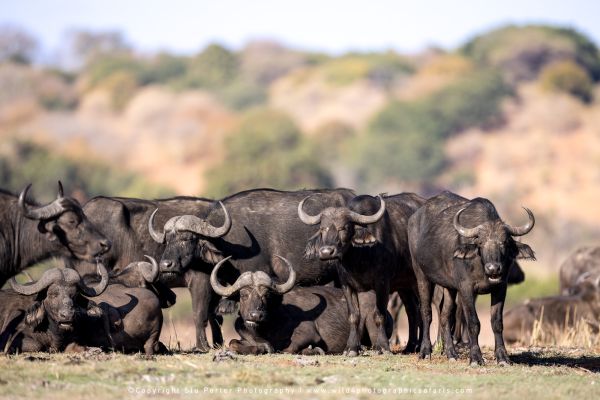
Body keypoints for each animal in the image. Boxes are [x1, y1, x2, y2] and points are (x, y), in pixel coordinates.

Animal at [211, 256, 394, 354]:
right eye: (243, 295)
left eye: (266, 295)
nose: (255, 315)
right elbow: (233, 342)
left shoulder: (308, 333)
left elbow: (287, 348)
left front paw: (313, 350)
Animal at [298, 192, 424, 354]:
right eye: (322, 229)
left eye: (343, 228)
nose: (326, 252)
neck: (359, 258)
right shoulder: (347, 285)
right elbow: (353, 316)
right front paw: (352, 347)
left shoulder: (382, 284)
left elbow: (379, 314)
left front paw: (383, 346)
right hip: (404, 285)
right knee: (412, 311)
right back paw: (410, 347)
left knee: (423, 310)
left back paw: (422, 346)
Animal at [408, 191, 536, 366]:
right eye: (480, 243)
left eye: (504, 242)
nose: (493, 268)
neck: (481, 266)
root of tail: (413, 218)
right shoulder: (466, 289)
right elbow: (473, 323)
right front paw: (475, 357)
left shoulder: (500, 288)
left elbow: (497, 322)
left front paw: (502, 357)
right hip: (422, 275)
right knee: (427, 312)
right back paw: (425, 351)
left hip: (449, 287)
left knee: (445, 315)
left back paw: (451, 354)